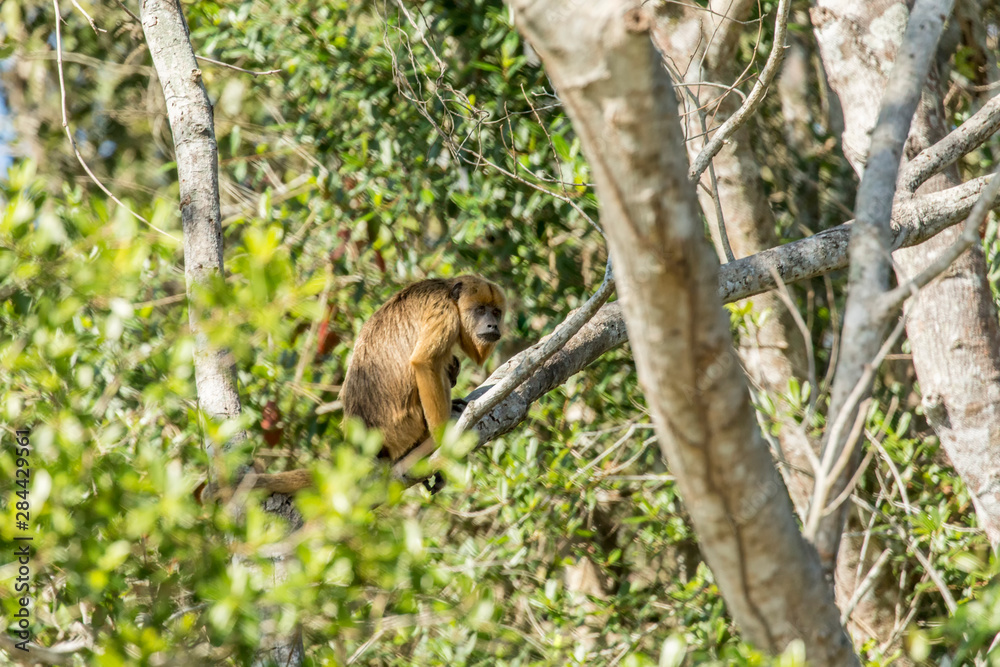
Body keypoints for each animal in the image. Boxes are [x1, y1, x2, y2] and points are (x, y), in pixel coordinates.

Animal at [244, 275, 506, 495]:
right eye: (480, 310)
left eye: (496, 312)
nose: (492, 325)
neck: (449, 294)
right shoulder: (445, 314)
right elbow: (424, 363)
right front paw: (443, 443)